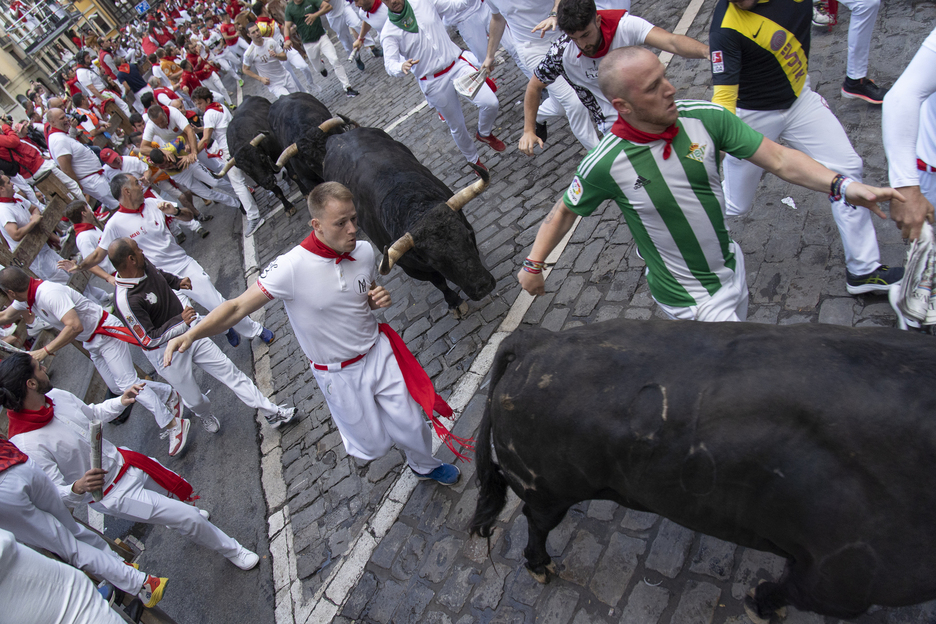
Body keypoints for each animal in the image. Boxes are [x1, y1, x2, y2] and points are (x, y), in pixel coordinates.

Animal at [472, 320, 936, 620]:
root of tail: (536, 341)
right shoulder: (841, 580)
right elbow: (785, 590)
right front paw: (759, 604)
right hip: (547, 489)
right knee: (535, 522)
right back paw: (539, 567)